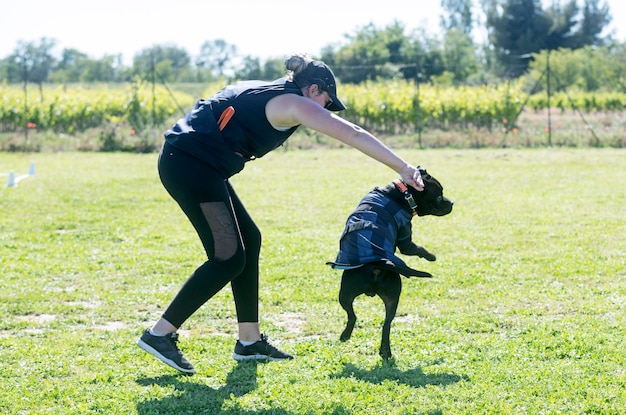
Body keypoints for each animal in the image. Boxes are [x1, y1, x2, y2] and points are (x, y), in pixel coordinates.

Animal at [324, 167, 450, 360]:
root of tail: (379, 263)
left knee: (368, 320)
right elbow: (416, 248)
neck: (402, 194)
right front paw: (431, 256)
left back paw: (362, 342)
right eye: (439, 196)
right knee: (372, 321)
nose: (452, 203)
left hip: (355, 294)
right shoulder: (406, 237)